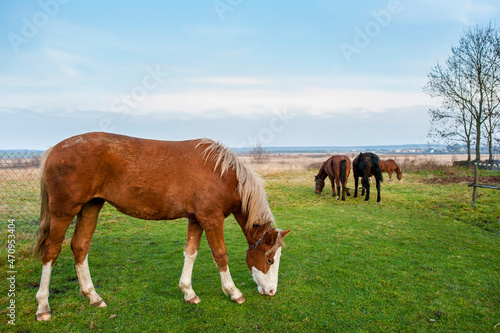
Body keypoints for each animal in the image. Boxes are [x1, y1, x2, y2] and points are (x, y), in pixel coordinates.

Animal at [33, 131, 292, 320]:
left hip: (90, 207)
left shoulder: (196, 219)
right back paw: (43, 306)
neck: (221, 173)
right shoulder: (211, 219)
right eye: (270, 260)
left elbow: (191, 252)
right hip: (64, 212)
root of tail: (55, 149)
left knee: (80, 247)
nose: (272, 291)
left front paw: (188, 292)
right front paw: (233, 292)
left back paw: (93, 297)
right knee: (51, 251)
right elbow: (220, 254)